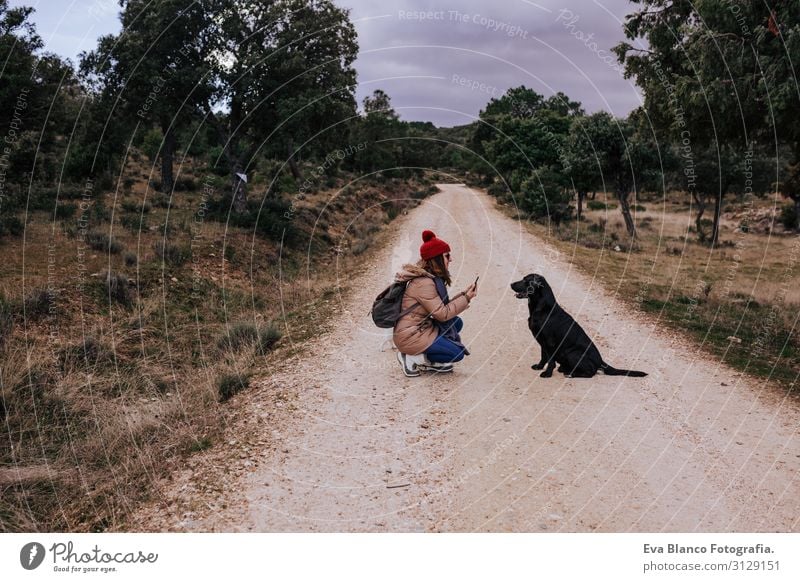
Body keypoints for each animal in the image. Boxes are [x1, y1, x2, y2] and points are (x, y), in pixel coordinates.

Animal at [510, 276, 648, 380]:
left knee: (590, 373)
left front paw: (547, 374)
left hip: (572, 353)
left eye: (526, 280)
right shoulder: (541, 340)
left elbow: (551, 361)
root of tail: (600, 361)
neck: (542, 308)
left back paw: (570, 374)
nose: (511, 284)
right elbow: (544, 356)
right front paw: (539, 367)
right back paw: (564, 369)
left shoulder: (549, 342)